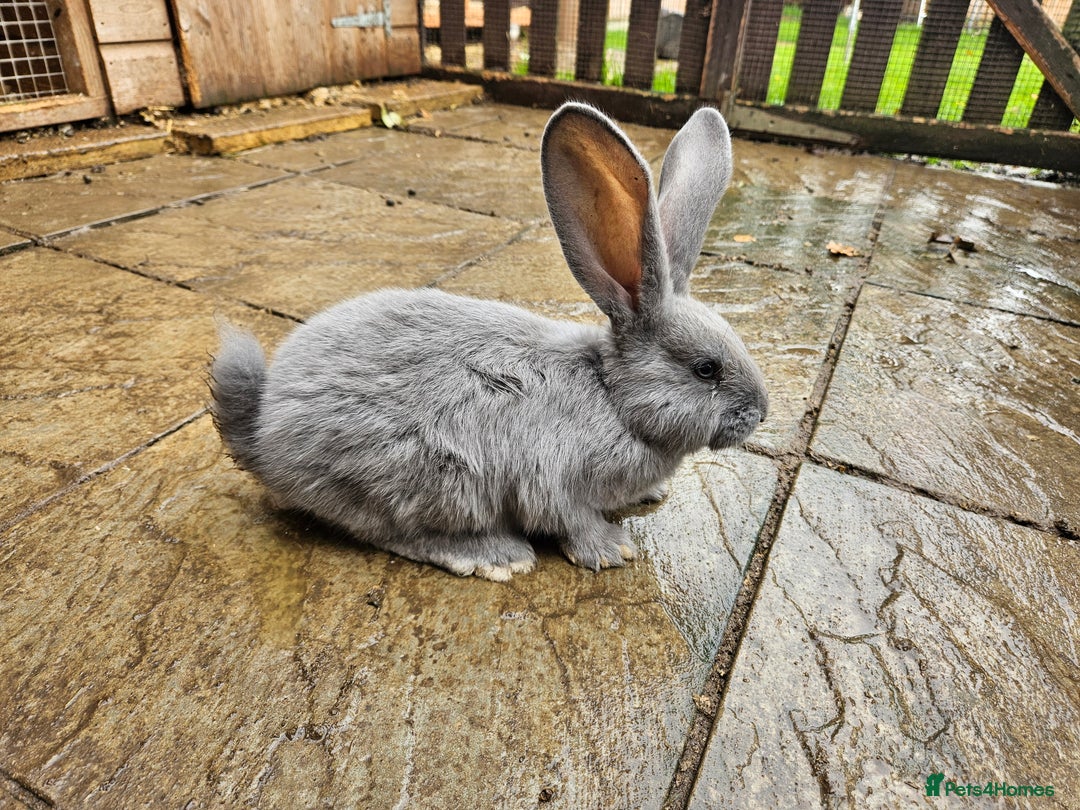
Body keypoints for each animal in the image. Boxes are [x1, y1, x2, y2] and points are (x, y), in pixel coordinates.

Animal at [210, 101, 768, 582]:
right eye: (706, 369)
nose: (760, 414)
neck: (612, 396)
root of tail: (263, 436)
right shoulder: (554, 479)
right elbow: (571, 519)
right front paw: (611, 550)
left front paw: (651, 494)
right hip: (435, 481)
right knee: (397, 534)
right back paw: (495, 556)